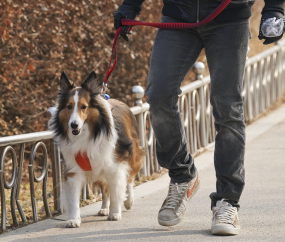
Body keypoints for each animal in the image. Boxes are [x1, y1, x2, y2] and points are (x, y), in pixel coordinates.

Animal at [47, 71, 144, 228]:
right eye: (69, 106)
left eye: (83, 106)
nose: (73, 125)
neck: (87, 134)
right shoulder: (73, 169)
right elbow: (74, 198)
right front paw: (73, 219)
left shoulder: (113, 165)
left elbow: (116, 190)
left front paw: (115, 213)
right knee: (104, 188)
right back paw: (104, 208)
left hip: (131, 154)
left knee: (129, 178)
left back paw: (128, 202)